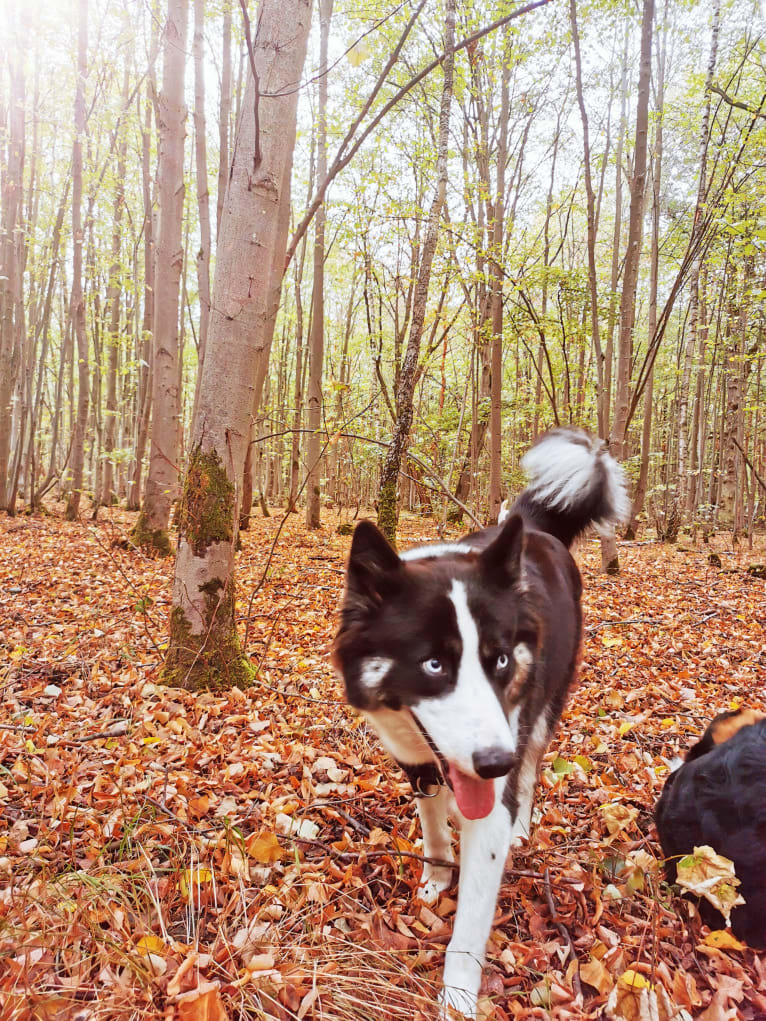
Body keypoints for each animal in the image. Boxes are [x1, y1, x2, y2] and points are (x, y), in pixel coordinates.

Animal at [330, 428, 629, 1012]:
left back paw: (521, 825)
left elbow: (470, 919)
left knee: (532, 767)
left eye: (501, 660)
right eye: (433, 664)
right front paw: (436, 876)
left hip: (545, 709)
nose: (493, 764)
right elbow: (431, 824)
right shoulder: (417, 761)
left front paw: (458, 998)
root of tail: (533, 529)